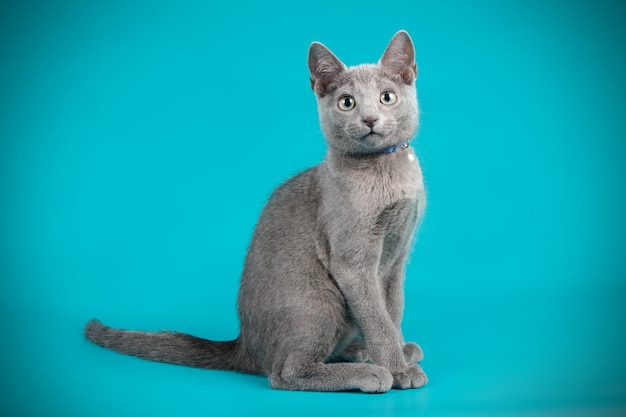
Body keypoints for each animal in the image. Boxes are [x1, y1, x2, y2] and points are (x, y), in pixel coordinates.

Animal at [85, 30, 426, 392]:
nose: (370, 119)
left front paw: (399, 351)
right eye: (347, 102)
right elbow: (377, 319)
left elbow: (393, 310)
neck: (386, 171)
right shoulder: (355, 265)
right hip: (319, 300)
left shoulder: (397, 256)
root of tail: (244, 345)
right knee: (285, 371)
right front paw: (397, 368)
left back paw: (361, 350)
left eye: (387, 97)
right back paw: (367, 372)